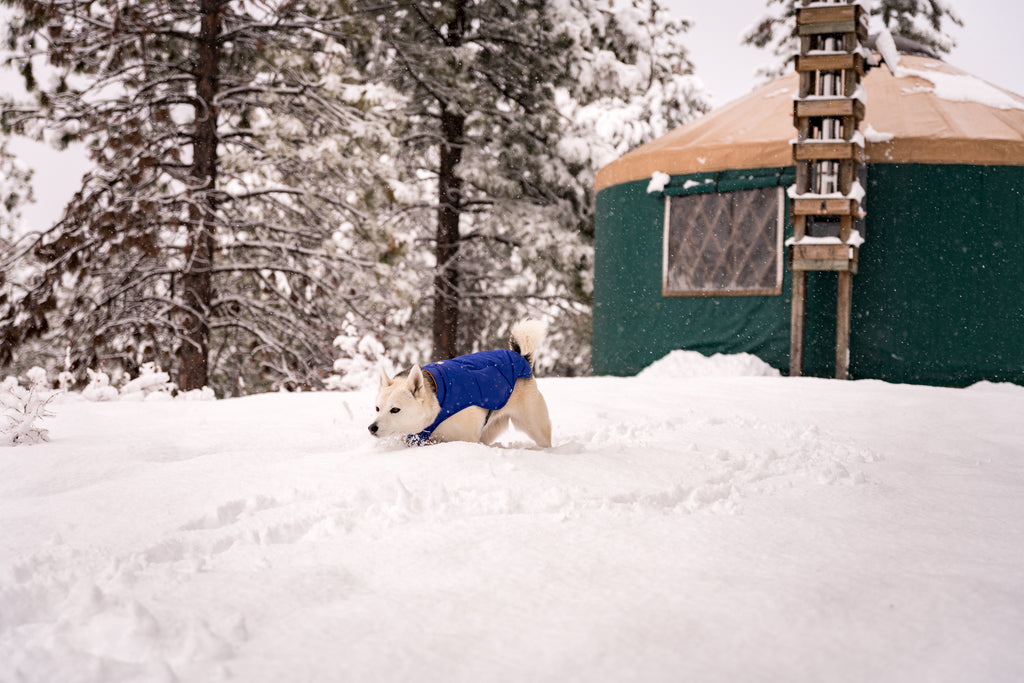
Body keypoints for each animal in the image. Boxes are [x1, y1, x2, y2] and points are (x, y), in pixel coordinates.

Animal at [370, 321, 552, 448]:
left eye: (395, 410)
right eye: (377, 408)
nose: (372, 428)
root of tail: (520, 357)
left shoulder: (466, 437)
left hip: (536, 427)